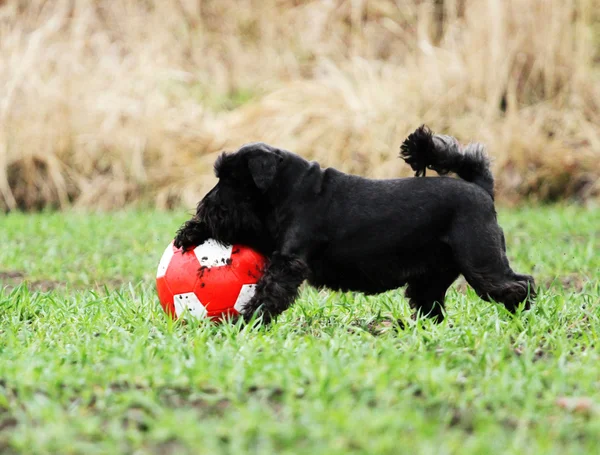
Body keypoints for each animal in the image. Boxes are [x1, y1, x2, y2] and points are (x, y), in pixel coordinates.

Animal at [172, 125, 536, 324]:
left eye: (232, 180)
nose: (205, 206)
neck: (290, 187)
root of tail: (482, 188)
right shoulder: (270, 237)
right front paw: (191, 231)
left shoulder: (288, 261)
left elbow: (268, 291)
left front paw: (248, 320)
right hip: (431, 277)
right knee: (431, 304)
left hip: (481, 263)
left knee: (520, 284)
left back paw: (523, 313)